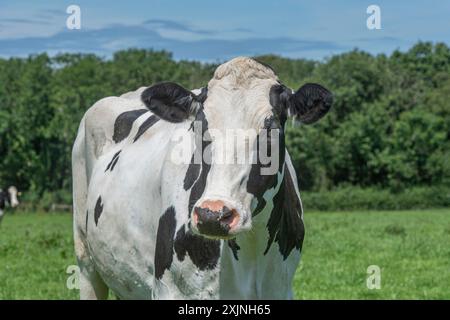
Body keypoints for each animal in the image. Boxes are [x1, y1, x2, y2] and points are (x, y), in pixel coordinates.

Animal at [72, 57, 332, 300]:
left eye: (272, 129)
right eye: (198, 126)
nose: (213, 215)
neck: (251, 251)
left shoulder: (281, 289)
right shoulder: (168, 290)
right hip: (85, 258)